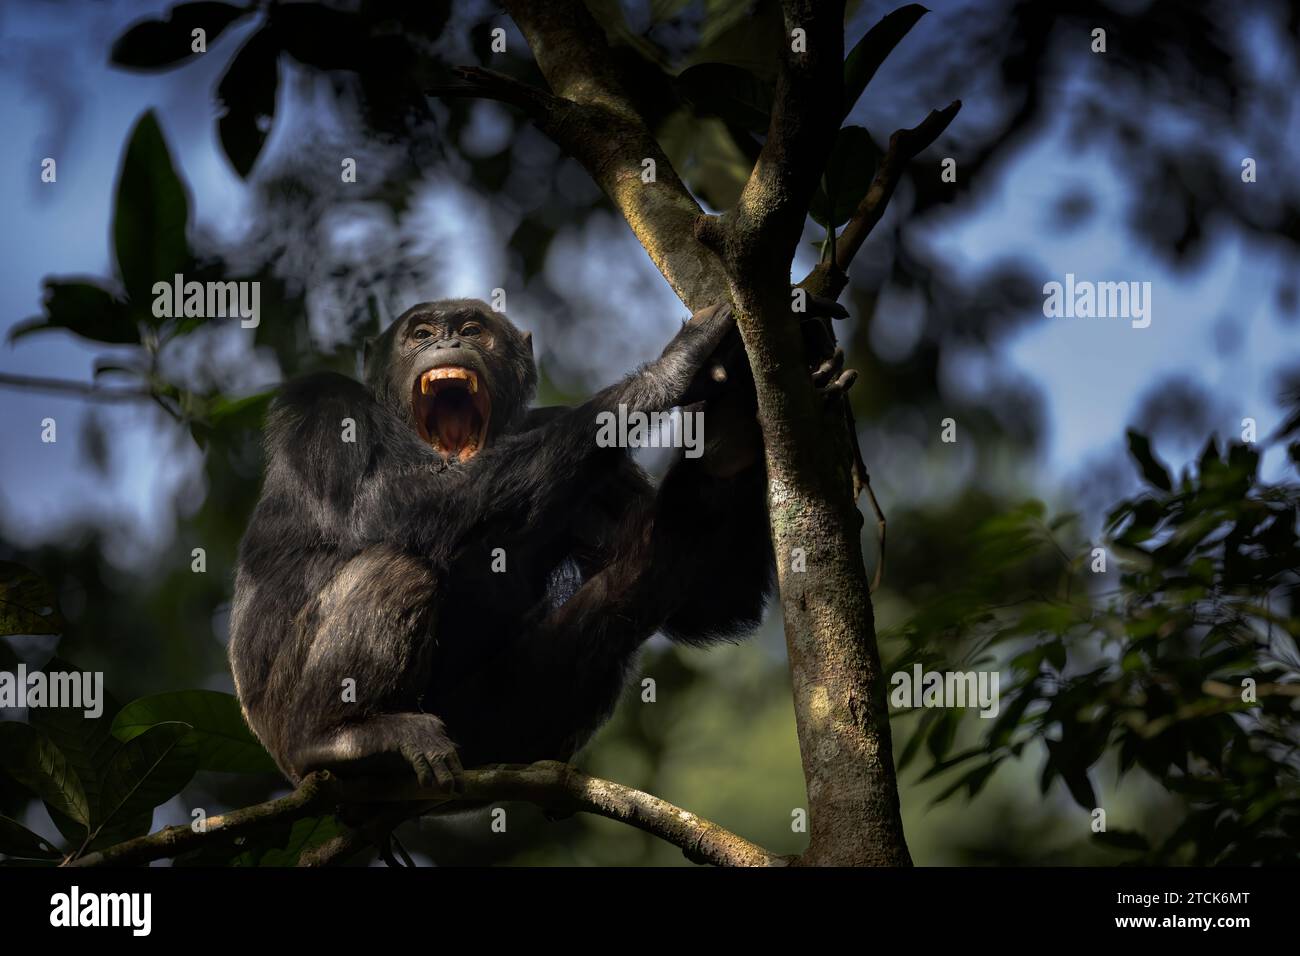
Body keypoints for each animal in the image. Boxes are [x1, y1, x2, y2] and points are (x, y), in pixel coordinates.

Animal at [227, 295, 842, 790]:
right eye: (420, 333)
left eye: (473, 329)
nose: (447, 340)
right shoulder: (321, 406)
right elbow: (384, 508)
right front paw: (676, 368)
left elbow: (709, 603)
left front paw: (734, 424)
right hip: (283, 727)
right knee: (396, 566)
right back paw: (337, 736)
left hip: (484, 728)